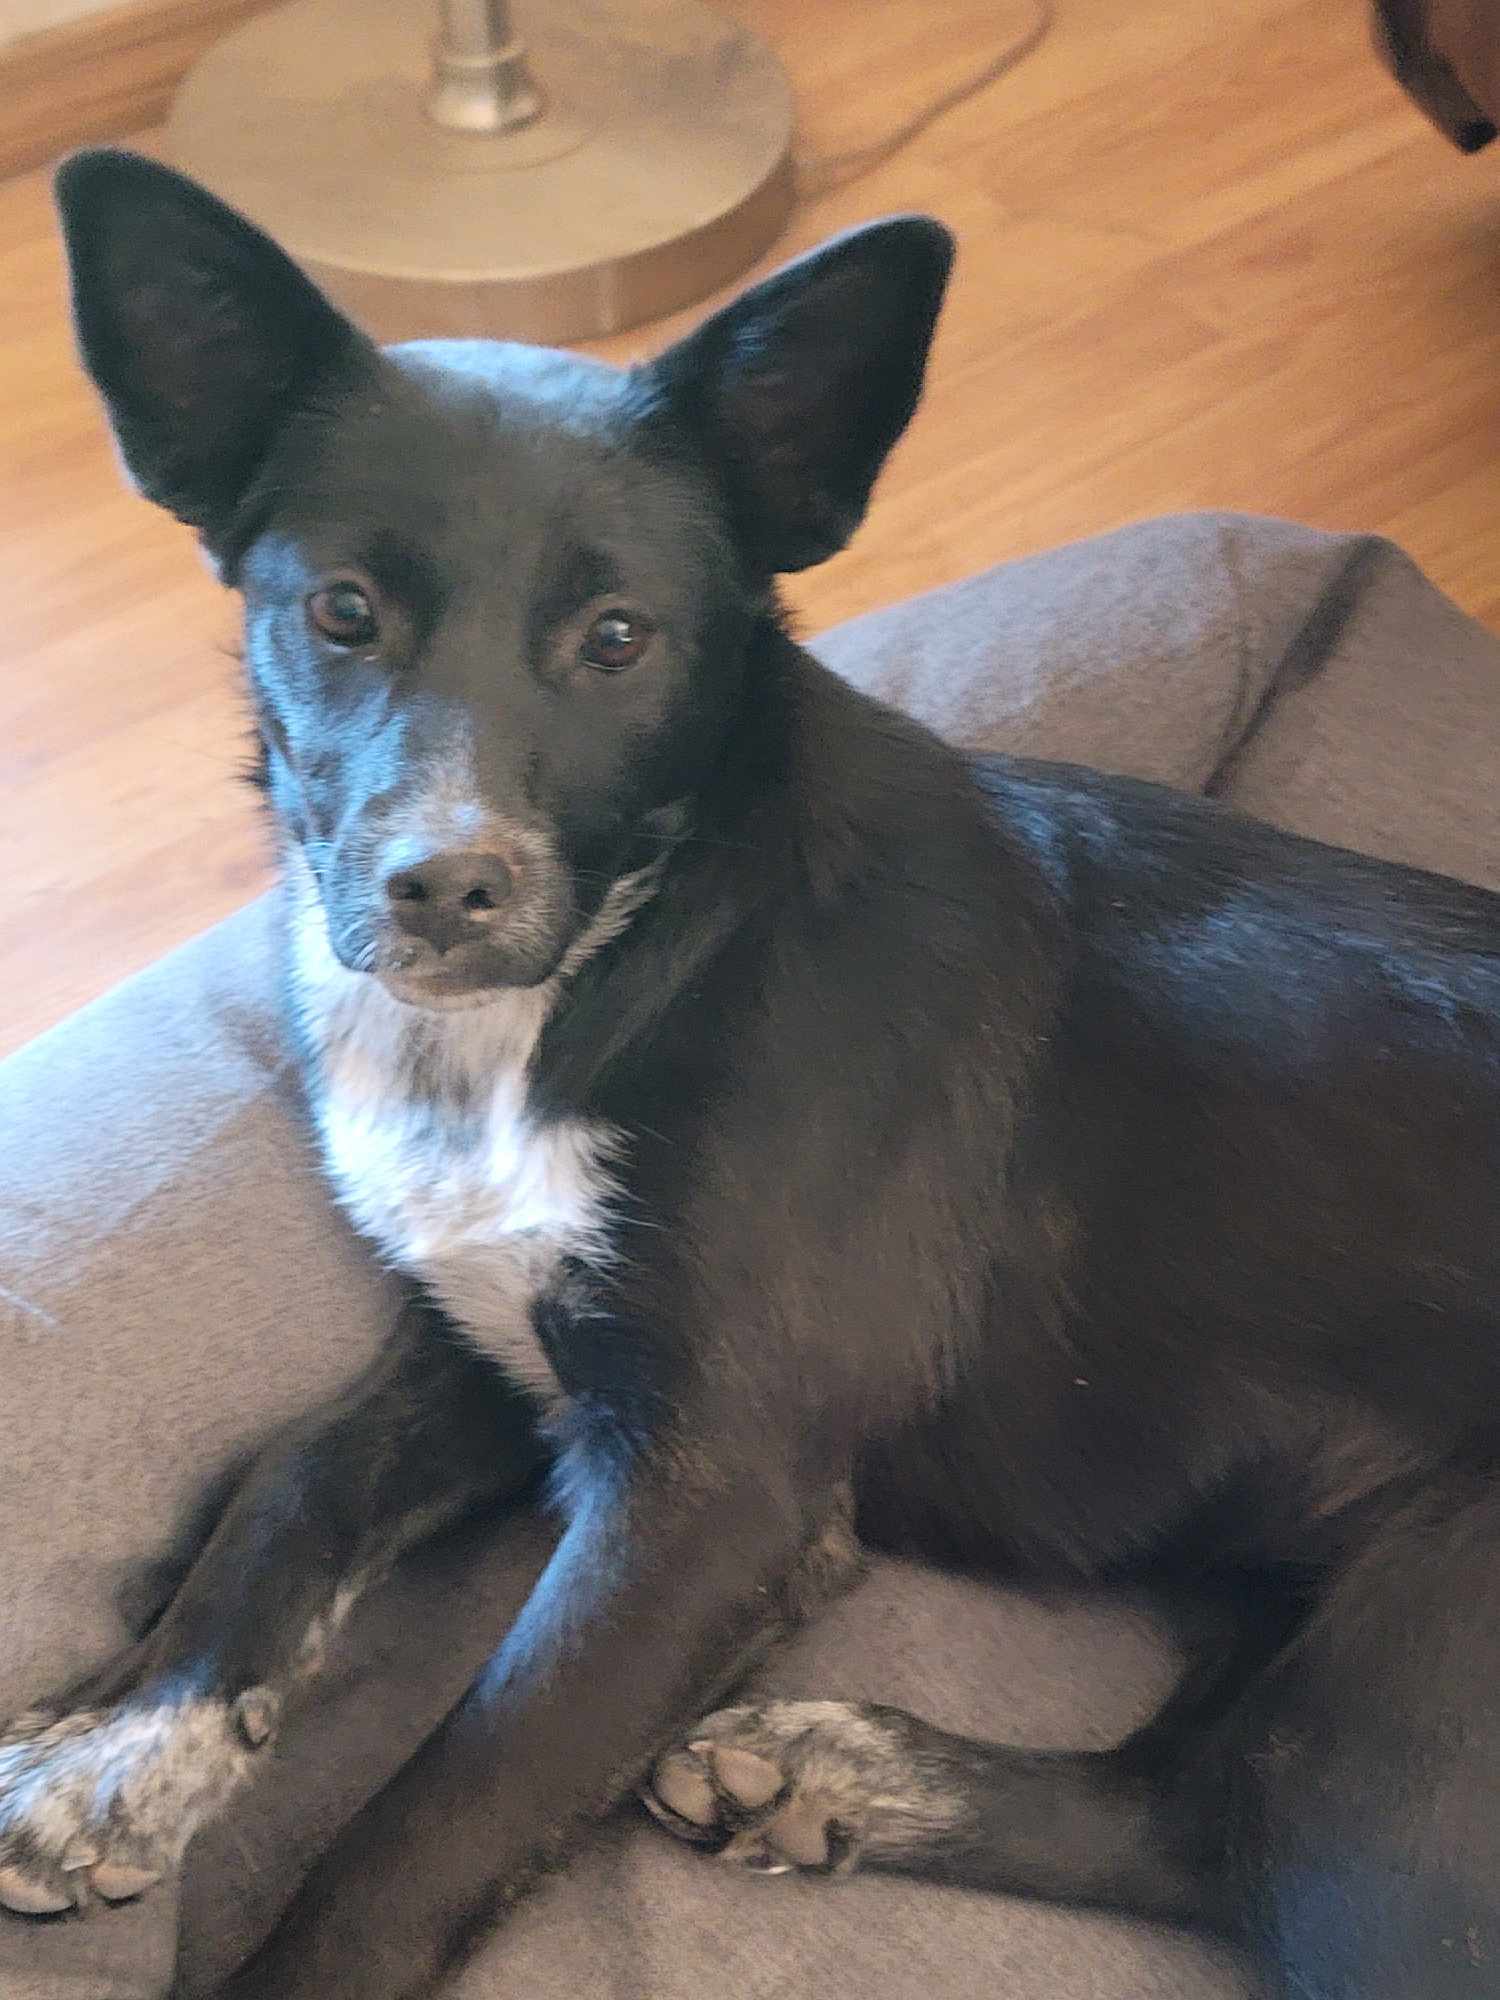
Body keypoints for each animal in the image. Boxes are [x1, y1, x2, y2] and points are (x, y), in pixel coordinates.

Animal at [8, 145, 1500, 2000]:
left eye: (619, 637)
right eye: (342, 613)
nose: (444, 888)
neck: (629, 956)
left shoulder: (713, 1496)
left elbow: (432, 1818)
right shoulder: (512, 1340)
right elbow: (290, 1482)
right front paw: (128, 1743)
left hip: (1417, 1701)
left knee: (1249, 1837)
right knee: (1189, 1809)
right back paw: (841, 1775)